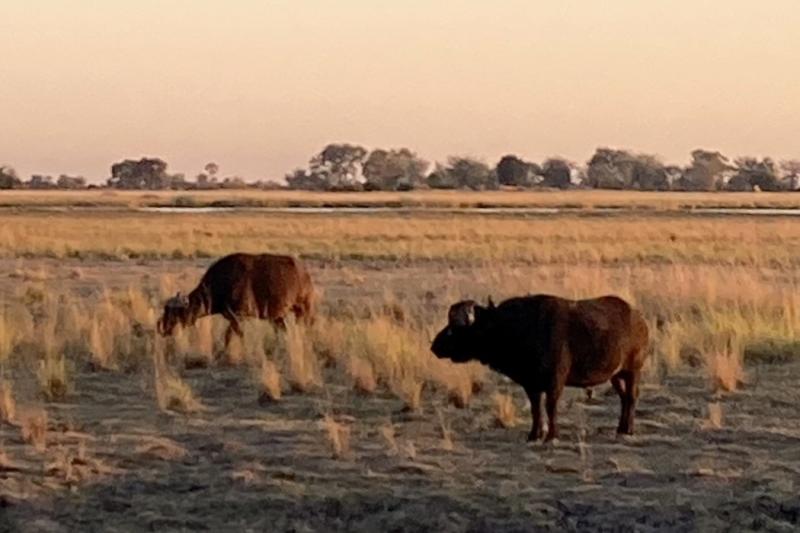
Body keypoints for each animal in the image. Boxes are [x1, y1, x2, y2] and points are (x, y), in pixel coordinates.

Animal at [156, 252, 316, 348]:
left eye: (175, 313)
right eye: (165, 311)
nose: (164, 329)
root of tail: (304, 272)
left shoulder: (238, 317)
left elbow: (232, 335)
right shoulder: (234, 318)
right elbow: (232, 335)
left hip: (304, 309)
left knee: (305, 326)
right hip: (277, 317)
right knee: (283, 330)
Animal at [432, 296, 648, 440]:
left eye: (456, 328)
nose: (434, 346)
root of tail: (639, 318)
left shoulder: (555, 381)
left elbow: (550, 407)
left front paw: (552, 435)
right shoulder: (531, 384)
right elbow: (536, 408)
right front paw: (534, 434)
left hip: (633, 371)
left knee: (632, 397)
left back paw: (628, 429)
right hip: (615, 375)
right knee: (624, 398)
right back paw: (621, 428)